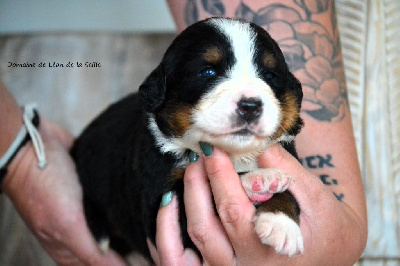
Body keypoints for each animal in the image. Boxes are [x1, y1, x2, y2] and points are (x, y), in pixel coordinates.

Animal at [71, 17, 304, 260]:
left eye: (269, 76)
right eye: (208, 72)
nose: (250, 106)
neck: (234, 155)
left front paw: (282, 223)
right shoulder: (158, 204)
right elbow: (209, 191)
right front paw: (260, 179)